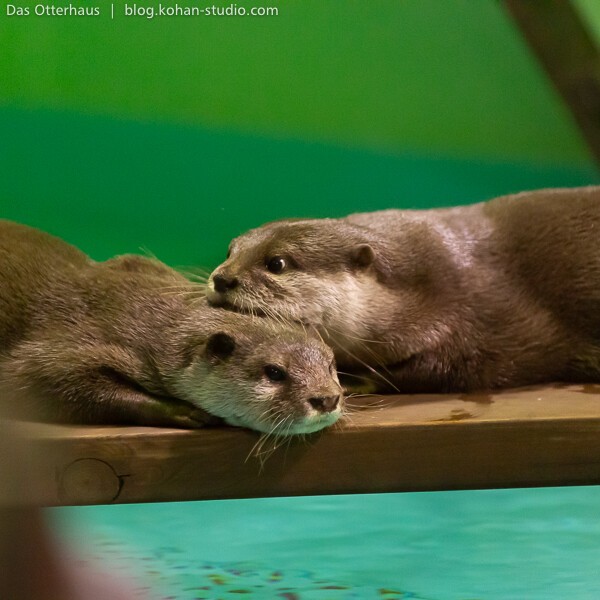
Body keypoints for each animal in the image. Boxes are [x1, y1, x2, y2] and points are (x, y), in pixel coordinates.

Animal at [206, 188, 600, 394]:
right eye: (230, 251)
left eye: (277, 263)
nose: (222, 279)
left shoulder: (471, 321)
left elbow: (443, 368)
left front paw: (358, 381)